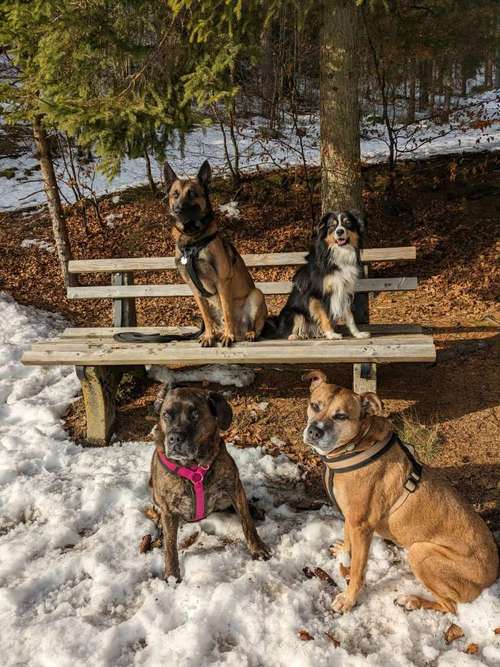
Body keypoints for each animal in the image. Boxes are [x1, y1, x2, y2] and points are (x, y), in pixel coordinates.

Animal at [150, 384, 272, 580]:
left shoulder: (233, 487)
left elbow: (247, 522)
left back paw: (254, 509)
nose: (175, 438)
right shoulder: (168, 507)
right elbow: (170, 545)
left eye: (195, 415)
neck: (194, 465)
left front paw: (258, 548)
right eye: (166, 415)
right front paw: (172, 575)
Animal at [164, 162, 268, 350]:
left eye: (192, 193)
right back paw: (218, 333)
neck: (192, 242)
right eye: (175, 194)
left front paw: (228, 336)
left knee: (254, 326)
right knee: (214, 320)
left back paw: (247, 333)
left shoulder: (222, 282)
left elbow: (227, 312)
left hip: (257, 295)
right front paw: (209, 336)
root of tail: (241, 330)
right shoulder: (195, 289)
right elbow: (206, 317)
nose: (177, 210)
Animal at [268, 211, 370, 342]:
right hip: (294, 313)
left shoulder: (344, 291)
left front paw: (358, 334)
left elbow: (350, 317)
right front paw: (331, 334)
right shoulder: (317, 294)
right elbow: (324, 316)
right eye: (332, 226)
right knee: (287, 331)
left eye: (347, 223)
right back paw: (294, 336)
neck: (337, 255)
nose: (339, 231)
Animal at [302, 370, 498, 616]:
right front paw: (343, 550)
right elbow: (347, 536)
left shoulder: (362, 526)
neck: (356, 445)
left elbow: (357, 571)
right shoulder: (351, 517)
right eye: (315, 405)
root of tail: (492, 576)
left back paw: (412, 601)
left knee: (450, 606)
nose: (314, 431)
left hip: (420, 551)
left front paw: (348, 600)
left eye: (341, 416)